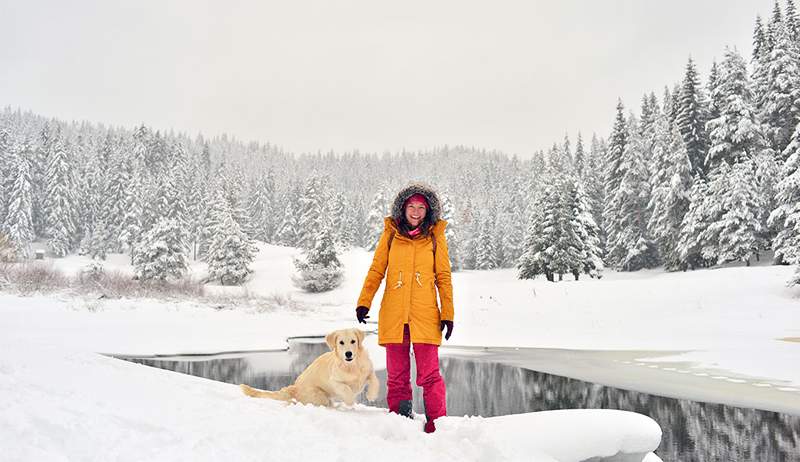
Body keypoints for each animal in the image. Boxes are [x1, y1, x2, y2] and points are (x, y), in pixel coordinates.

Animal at [239, 326, 380, 406]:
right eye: (341, 342)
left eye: (353, 341)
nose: (348, 353)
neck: (352, 365)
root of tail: (294, 387)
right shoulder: (335, 382)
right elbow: (346, 389)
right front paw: (350, 402)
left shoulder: (368, 371)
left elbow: (374, 381)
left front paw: (371, 395)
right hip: (319, 396)